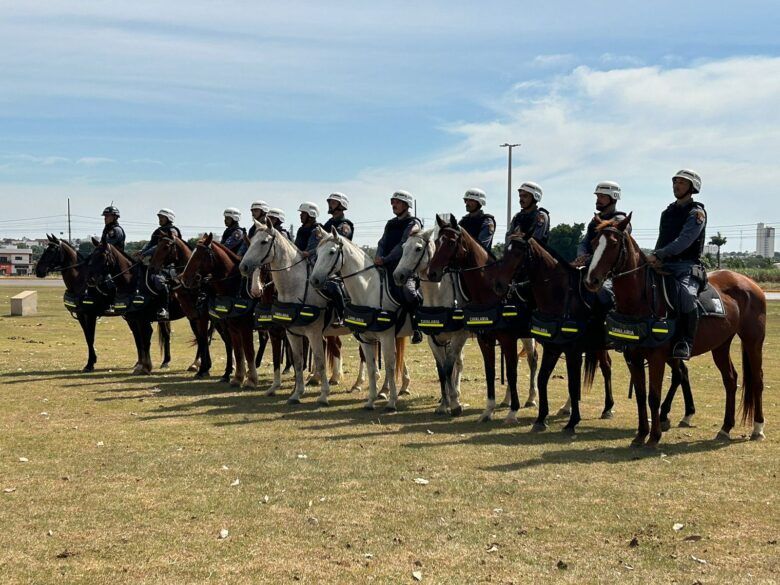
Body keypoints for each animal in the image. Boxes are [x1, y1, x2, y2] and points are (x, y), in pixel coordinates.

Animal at [148, 235, 235, 380]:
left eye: (166, 247)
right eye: (157, 246)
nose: (152, 268)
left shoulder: (203, 316)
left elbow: (203, 339)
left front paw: (202, 367)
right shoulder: (193, 317)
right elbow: (201, 339)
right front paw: (202, 366)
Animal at [178, 233, 258, 388]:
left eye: (200, 255)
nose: (184, 278)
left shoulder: (243, 325)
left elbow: (247, 350)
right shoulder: (228, 324)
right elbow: (236, 349)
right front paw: (234, 376)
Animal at [310, 225, 414, 410]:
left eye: (331, 252)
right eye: (317, 252)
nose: (314, 280)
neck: (368, 290)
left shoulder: (386, 337)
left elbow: (389, 366)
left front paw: (391, 402)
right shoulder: (366, 338)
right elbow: (372, 367)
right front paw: (371, 400)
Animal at [426, 214, 544, 424]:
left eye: (451, 242)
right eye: (437, 241)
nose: (433, 273)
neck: (489, 291)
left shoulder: (505, 339)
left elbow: (511, 373)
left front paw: (513, 412)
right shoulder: (484, 339)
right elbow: (490, 372)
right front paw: (489, 410)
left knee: (533, 360)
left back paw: (535, 399)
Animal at [580, 214, 764, 448]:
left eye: (613, 244)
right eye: (595, 243)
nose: (591, 280)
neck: (642, 299)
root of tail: (750, 283)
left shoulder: (657, 356)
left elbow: (653, 396)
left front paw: (654, 436)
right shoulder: (633, 356)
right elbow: (641, 395)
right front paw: (641, 434)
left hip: (752, 341)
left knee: (757, 380)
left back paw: (758, 428)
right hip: (721, 345)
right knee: (730, 380)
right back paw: (725, 428)